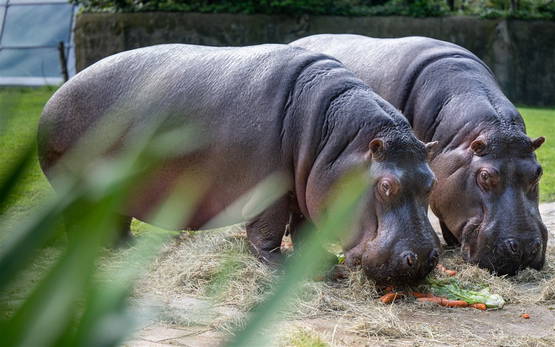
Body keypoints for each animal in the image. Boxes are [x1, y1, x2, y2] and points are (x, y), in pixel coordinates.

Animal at [38, 43, 444, 284]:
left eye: (432, 182)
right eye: (385, 186)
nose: (426, 258)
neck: (337, 139)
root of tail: (54, 98)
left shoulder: (306, 185)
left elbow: (303, 228)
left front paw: (320, 265)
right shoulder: (270, 190)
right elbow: (267, 230)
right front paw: (279, 267)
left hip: (115, 191)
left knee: (116, 218)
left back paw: (126, 247)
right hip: (75, 187)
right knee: (78, 219)